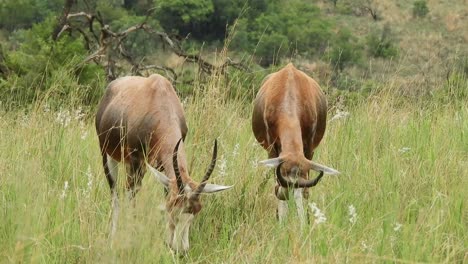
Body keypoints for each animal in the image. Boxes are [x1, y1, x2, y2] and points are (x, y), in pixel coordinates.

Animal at [95, 73, 232, 253]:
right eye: (173, 209)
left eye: (195, 213)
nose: (181, 251)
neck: (158, 96)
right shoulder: (136, 160)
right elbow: (131, 197)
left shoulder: (164, 168)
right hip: (109, 156)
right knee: (116, 194)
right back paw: (112, 235)